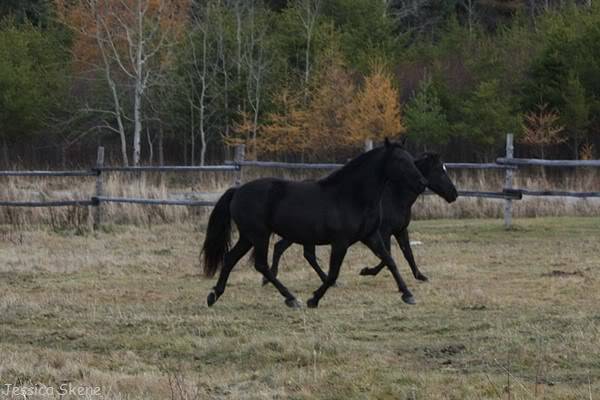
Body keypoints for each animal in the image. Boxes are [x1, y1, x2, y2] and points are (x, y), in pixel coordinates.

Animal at [202, 141, 426, 310]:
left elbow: (390, 260)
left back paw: (214, 295)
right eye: (400, 160)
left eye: (410, 159)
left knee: (230, 258)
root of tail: (237, 191)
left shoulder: (370, 236)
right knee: (261, 265)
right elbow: (333, 273)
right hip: (259, 235)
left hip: (248, 237)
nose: (422, 183)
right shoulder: (340, 242)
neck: (351, 197)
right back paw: (291, 298)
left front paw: (407, 294)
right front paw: (313, 299)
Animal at [264, 150, 458, 284]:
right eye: (440, 171)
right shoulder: (383, 231)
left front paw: (421, 276)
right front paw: (366, 271)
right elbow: (387, 255)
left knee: (284, 248)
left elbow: (407, 253)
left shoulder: (400, 230)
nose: (454, 194)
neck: (395, 196)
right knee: (303, 253)